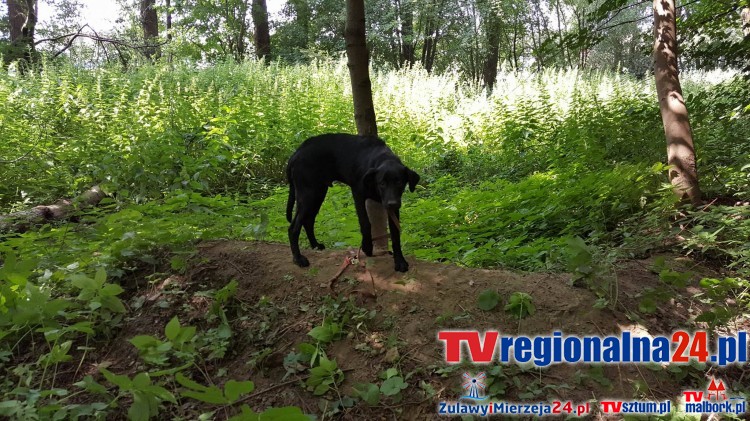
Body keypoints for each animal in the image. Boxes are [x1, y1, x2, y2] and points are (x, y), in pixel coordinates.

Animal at [286, 135, 420, 272]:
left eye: (399, 183)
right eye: (382, 183)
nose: (392, 203)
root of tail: (296, 153)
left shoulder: (392, 206)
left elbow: (395, 233)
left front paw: (400, 261)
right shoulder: (358, 194)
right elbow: (365, 222)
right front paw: (367, 246)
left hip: (318, 193)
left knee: (308, 221)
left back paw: (315, 245)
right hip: (308, 195)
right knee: (293, 228)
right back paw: (298, 258)